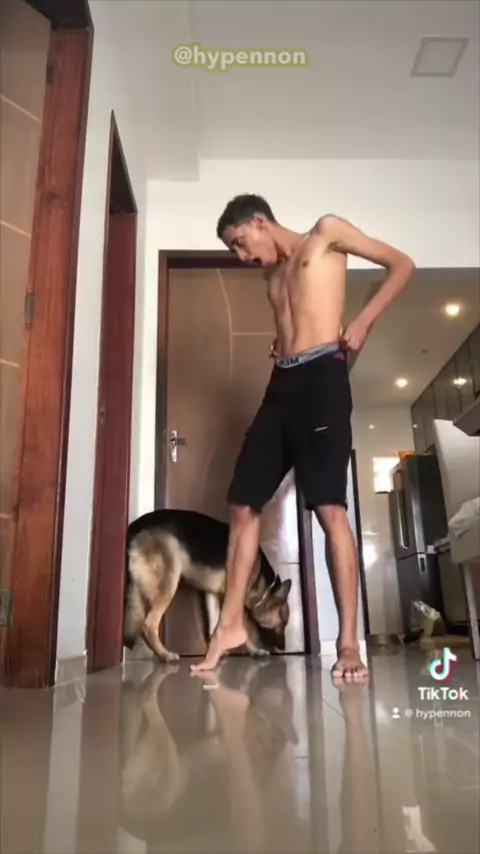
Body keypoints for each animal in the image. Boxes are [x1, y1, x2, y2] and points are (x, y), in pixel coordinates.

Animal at [123, 509, 292, 662]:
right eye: (283, 621)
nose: (284, 649)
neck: (264, 587)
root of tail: (134, 527)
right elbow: (242, 630)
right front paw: (255, 651)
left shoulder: (212, 595)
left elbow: (213, 624)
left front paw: (217, 651)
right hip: (170, 580)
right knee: (148, 625)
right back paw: (165, 655)